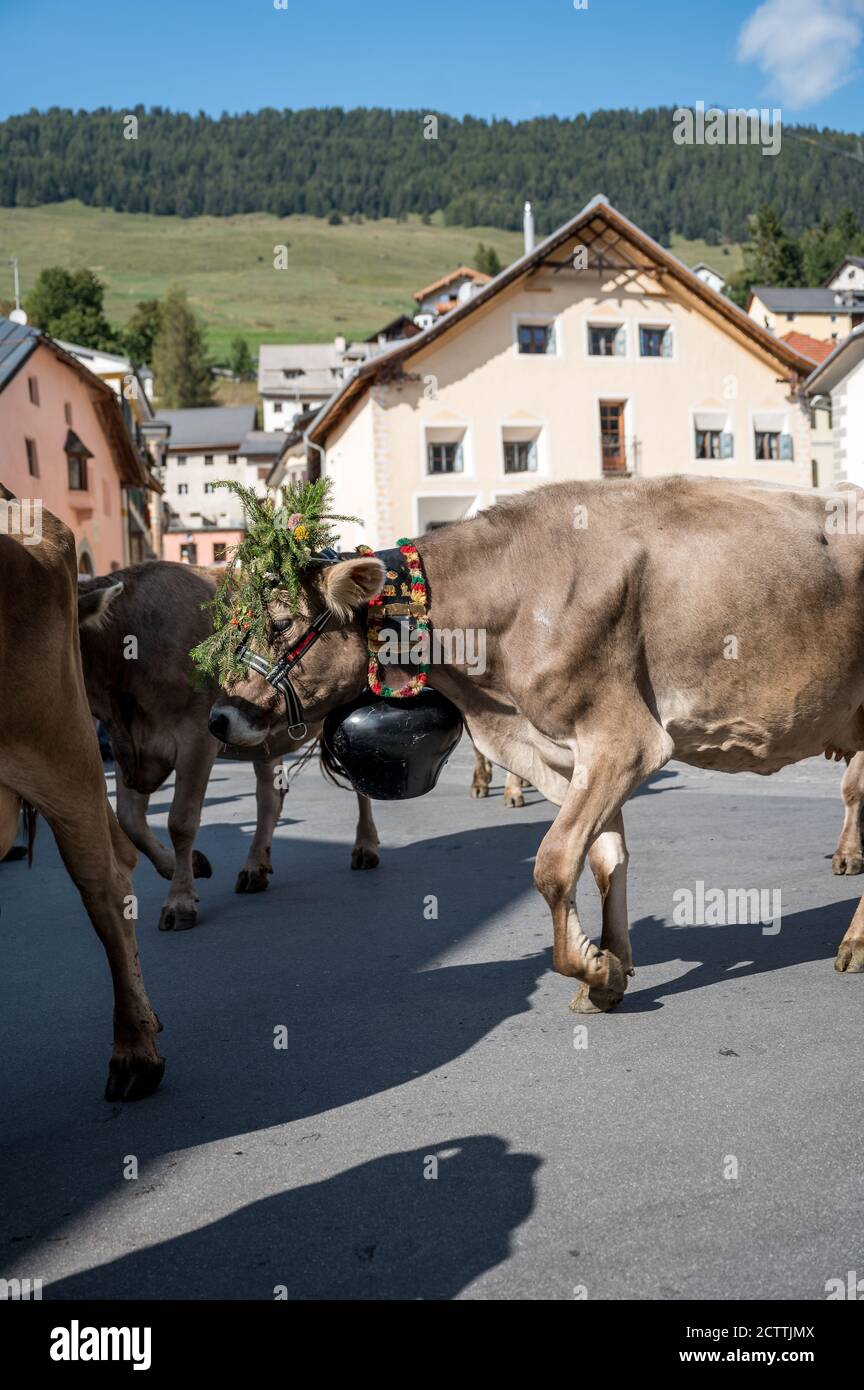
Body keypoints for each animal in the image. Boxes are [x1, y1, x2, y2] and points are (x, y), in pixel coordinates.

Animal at [77, 561, 380, 932]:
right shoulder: (133, 746)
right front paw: (187, 865)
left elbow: (180, 821)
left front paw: (179, 900)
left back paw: (365, 846)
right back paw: (255, 867)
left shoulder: (196, 736)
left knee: (359, 783)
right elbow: (129, 820)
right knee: (270, 797)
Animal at [209, 475, 864, 1013]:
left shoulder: (625, 741)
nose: (218, 717)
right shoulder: (564, 753)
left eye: (279, 623)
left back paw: (854, 944)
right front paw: (610, 969)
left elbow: (552, 864)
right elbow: (602, 859)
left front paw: (592, 969)